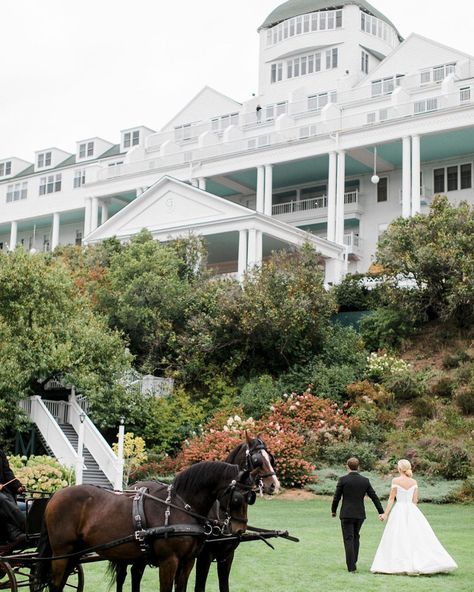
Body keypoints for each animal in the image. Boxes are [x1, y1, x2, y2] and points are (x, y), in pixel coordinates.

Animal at [32, 462, 252, 592]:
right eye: (238, 497)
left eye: (251, 496)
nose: (239, 529)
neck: (181, 506)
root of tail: (55, 495)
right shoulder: (169, 561)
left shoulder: (188, 561)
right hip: (62, 552)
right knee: (55, 584)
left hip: (75, 553)